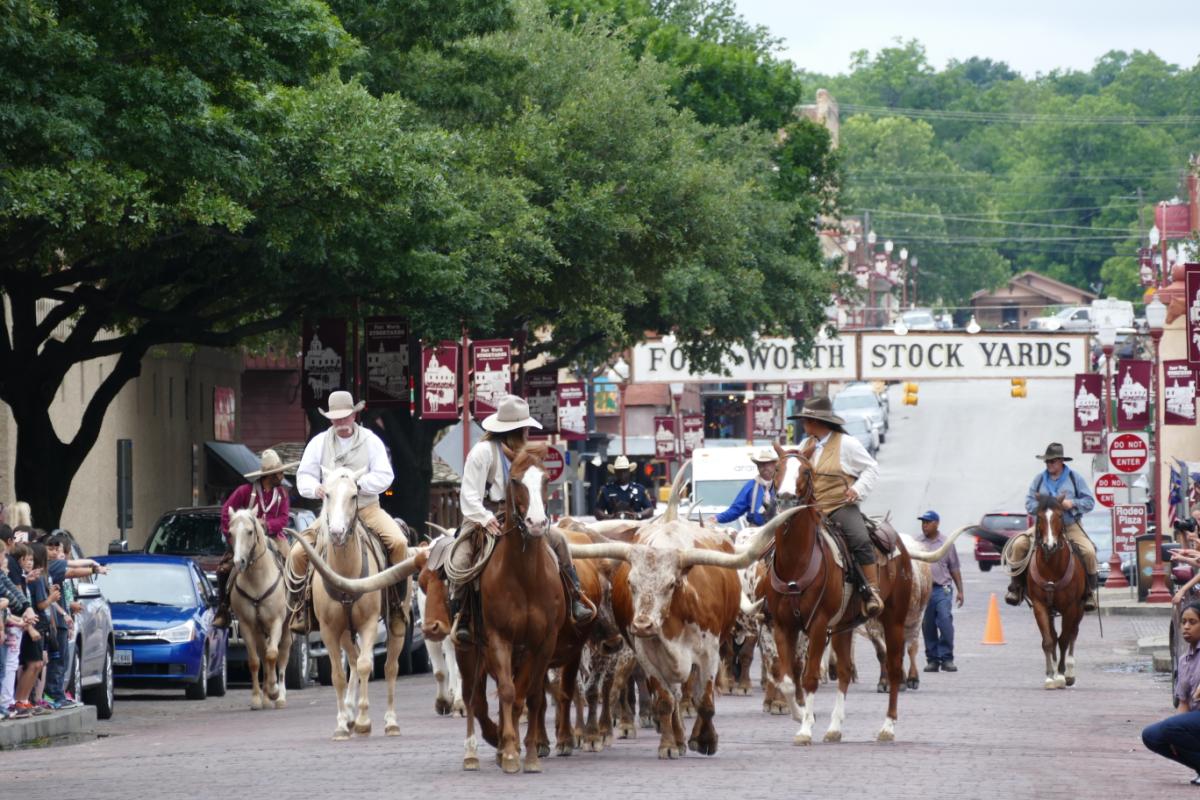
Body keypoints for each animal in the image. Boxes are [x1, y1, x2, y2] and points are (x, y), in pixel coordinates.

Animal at [230, 510, 294, 710]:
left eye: (250, 532)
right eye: (230, 533)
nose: (239, 562)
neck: (257, 579)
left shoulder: (276, 622)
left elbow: (273, 655)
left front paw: (274, 691)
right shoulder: (246, 625)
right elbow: (254, 661)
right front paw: (257, 699)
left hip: (286, 630)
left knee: (282, 657)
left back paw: (280, 696)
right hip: (259, 631)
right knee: (263, 658)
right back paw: (266, 698)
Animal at [291, 465, 420, 743]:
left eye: (353, 495)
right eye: (327, 494)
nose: (338, 532)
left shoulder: (369, 624)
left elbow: (364, 665)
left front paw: (363, 721)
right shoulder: (329, 630)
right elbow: (339, 675)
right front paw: (342, 723)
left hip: (396, 623)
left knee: (389, 666)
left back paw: (390, 722)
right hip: (344, 632)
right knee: (351, 659)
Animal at [768, 443, 964, 743]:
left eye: (806, 471)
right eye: (777, 468)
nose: (787, 500)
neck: (796, 562)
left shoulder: (818, 625)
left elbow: (809, 676)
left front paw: (805, 729)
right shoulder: (783, 625)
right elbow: (789, 680)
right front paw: (800, 715)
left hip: (895, 620)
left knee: (895, 668)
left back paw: (888, 726)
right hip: (845, 626)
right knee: (845, 671)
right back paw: (834, 728)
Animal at [1022, 494, 1089, 690]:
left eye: (1060, 515)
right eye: (1039, 516)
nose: (1049, 545)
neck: (1051, 566)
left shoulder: (1071, 607)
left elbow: (1064, 640)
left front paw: (1060, 675)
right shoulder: (1040, 606)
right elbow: (1048, 640)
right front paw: (1050, 676)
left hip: (1080, 608)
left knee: (1073, 634)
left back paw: (1070, 672)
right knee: (1053, 635)